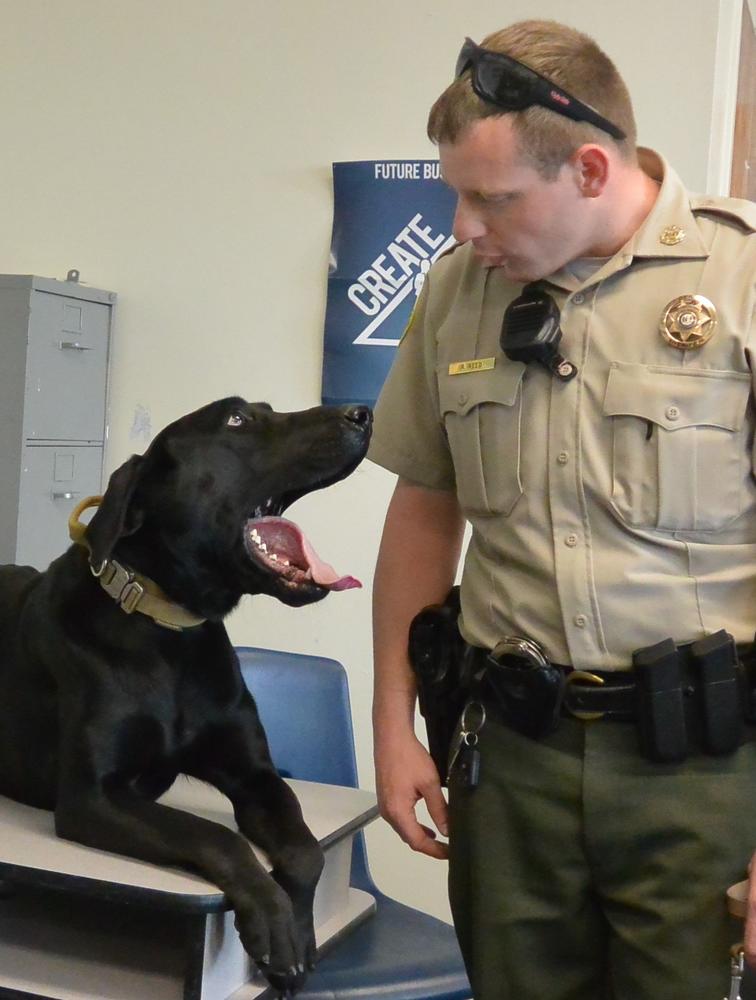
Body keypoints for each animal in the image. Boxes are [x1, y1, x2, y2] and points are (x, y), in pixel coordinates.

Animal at [0, 394, 372, 996]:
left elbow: (306, 849)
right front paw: (273, 920)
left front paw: (299, 931)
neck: (169, 632)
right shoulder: (92, 797)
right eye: (238, 420)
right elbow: (213, 835)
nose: (362, 414)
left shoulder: (253, 775)